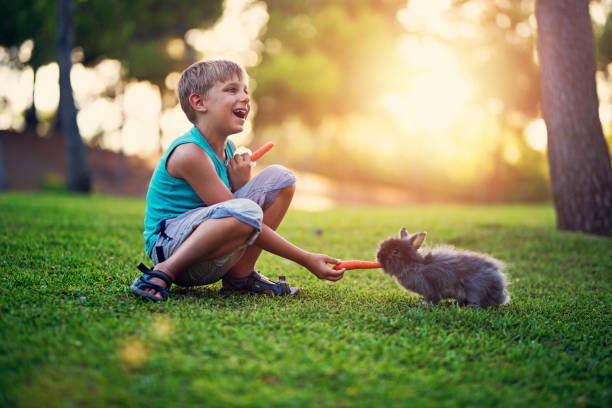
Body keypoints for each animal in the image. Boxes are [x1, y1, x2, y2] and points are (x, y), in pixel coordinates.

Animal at [376, 228, 510, 308]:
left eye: (395, 252)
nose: (378, 257)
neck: (414, 266)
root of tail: (501, 292)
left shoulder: (428, 287)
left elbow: (433, 298)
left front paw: (424, 304)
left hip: (476, 290)